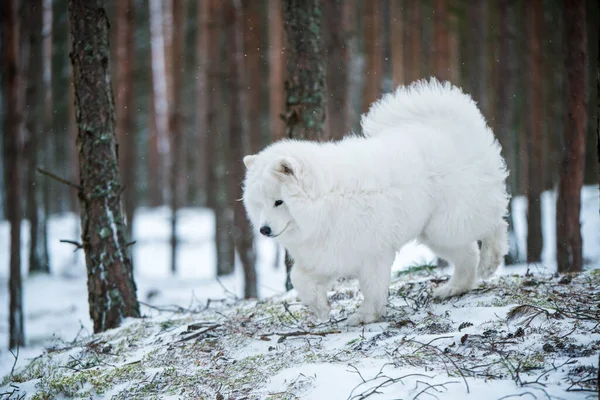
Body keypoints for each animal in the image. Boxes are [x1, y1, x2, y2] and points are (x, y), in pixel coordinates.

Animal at [241, 78, 508, 324]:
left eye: (278, 202)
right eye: (259, 204)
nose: (264, 230)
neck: (326, 202)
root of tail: (452, 127)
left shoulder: (373, 252)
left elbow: (372, 287)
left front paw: (365, 316)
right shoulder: (328, 255)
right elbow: (300, 279)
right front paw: (321, 308)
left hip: (450, 222)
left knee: (494, 224)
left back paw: (490, 262)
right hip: (435, 232)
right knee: (468, 254)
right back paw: (453, 288)